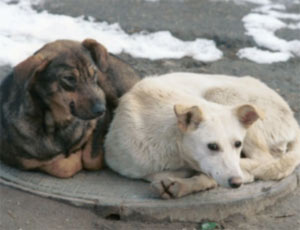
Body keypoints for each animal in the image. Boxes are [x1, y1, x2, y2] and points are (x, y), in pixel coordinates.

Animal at [0, 38, 141, 178]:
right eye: (69, 78)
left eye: (94, 74)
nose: (101, 109)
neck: (58, 123)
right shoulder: (23, 161)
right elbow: (61, 166)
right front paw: (73, 156)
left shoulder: (99, 121)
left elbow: (90, 159)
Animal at [103, 73, 300, 199]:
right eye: (212, 146)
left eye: (238, 144)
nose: (236, 182)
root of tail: (293, 119)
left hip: (221, 93)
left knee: (264, 160)